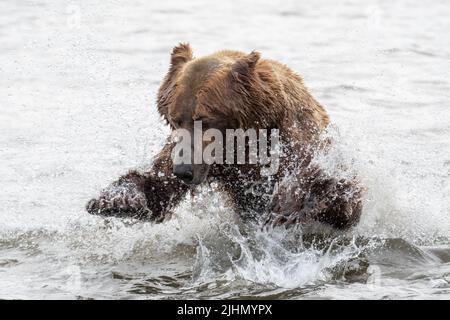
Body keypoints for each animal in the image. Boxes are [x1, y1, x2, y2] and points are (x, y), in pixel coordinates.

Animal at [86, 43, 364, 230]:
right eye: (175, 119)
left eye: (205, 119)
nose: (183, 171)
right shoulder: (203, 159)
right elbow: (157, 185)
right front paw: (114, 199)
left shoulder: (295, 142)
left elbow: (335, 190)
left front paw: (284, 204)